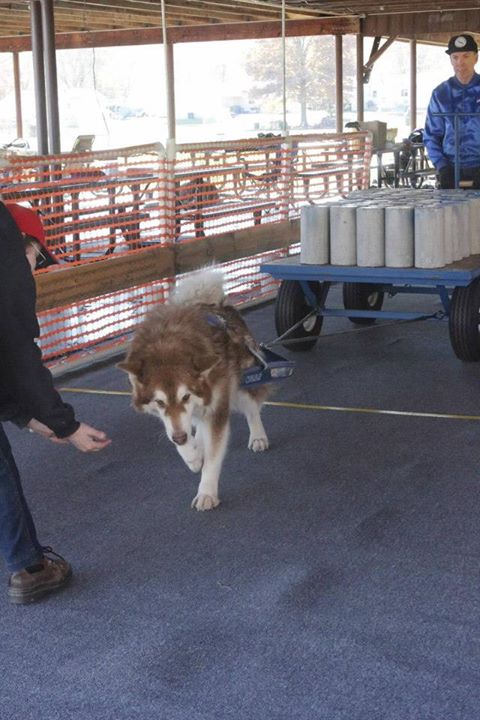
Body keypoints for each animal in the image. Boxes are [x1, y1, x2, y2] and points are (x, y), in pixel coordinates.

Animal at [117, 270, 270, 512]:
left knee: (251, 407)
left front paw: (206, 492)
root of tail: (215, 304)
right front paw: (192, 454)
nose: (180, 438)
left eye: (186, 396)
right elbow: (180, 432)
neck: (169, 344)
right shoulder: (174, 417)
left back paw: (257, 436)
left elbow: (213, 456)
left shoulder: (216, 406)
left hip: (239, 383)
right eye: (159, 402)